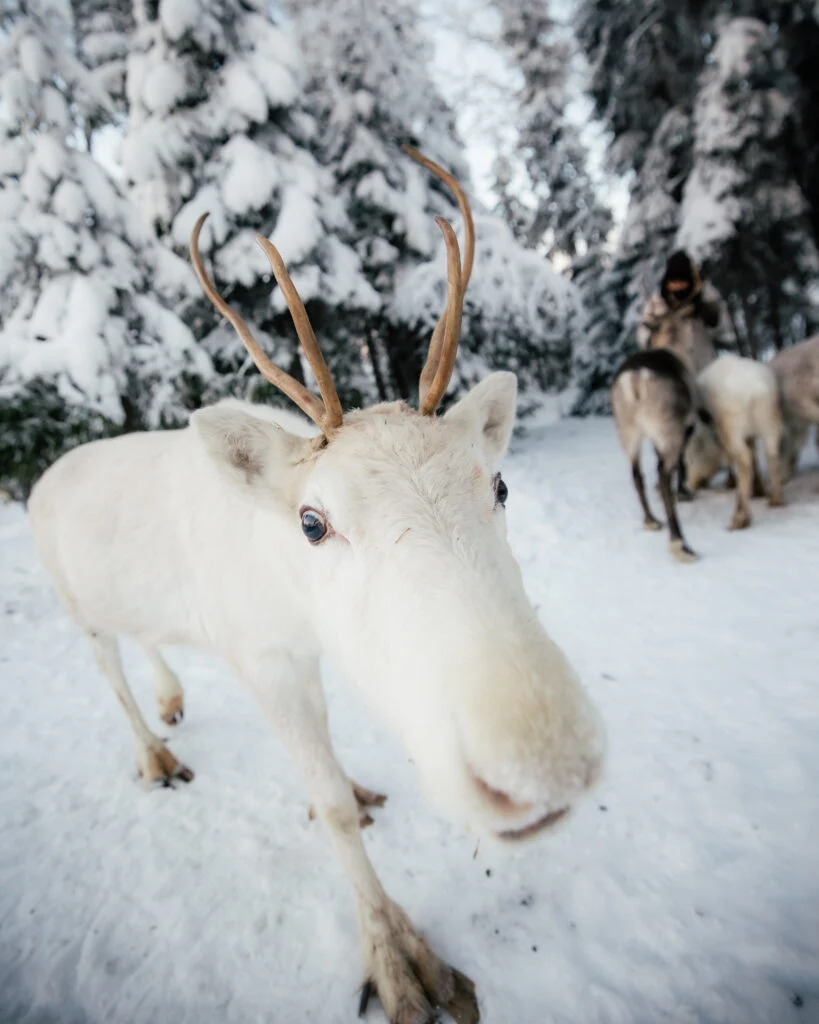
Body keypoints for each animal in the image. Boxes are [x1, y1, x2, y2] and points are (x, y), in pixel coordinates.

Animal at [27, 147, 606, 1024]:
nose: (545, 762)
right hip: (74, 605)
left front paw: (355, 788)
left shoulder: (309, 655)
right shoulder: (261, 657)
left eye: (500, 485)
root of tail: (41, 480)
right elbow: (329, 807)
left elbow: (331, 765)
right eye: (311, 522)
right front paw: (401, 961)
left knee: (145, 639)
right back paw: (155, 753)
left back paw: (171, 697)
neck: (288, 599)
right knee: (108, 669)